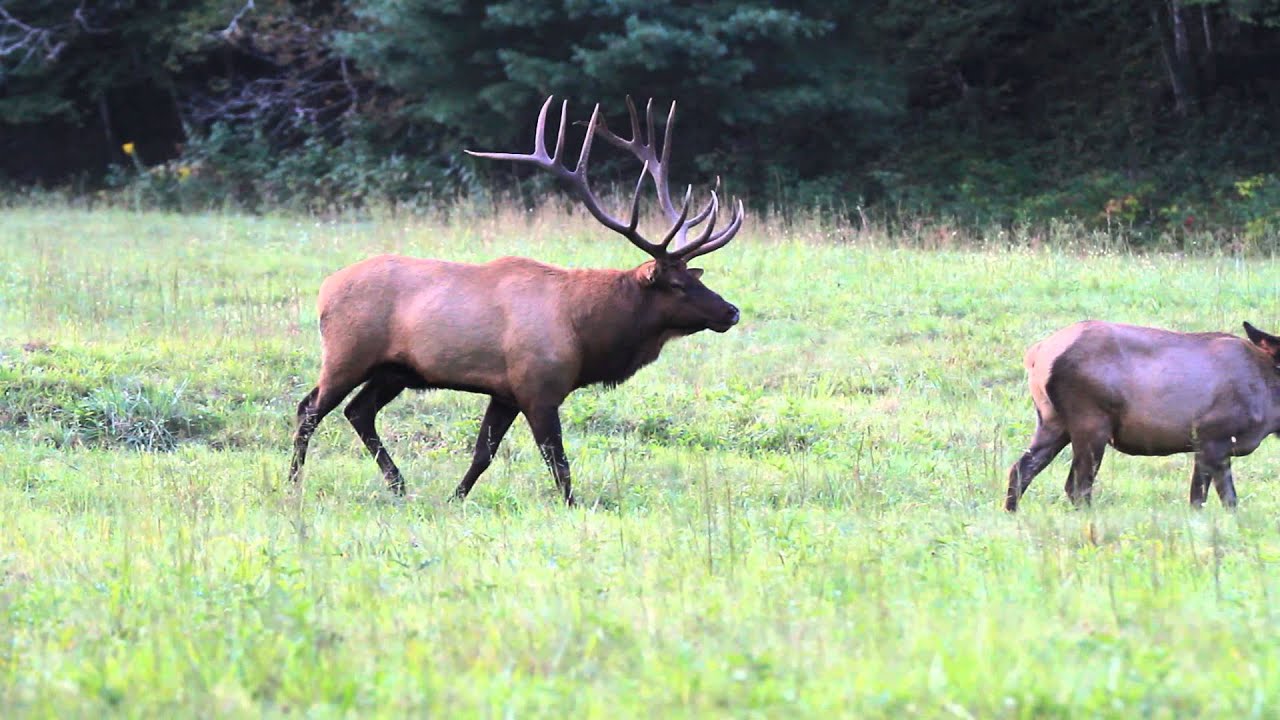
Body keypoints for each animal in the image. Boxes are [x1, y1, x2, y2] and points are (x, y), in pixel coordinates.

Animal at [287, 95, 744, 506]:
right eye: (677, 285)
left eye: (694, 276)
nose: (731, 311)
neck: (585, 334)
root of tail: (325, 289)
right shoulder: (538, 387)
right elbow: (557, 462)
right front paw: (572, 507)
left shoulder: (505, 392)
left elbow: (482, 454)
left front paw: (454, 499)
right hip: (348, 354)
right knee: (309, 409)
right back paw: (293, 484)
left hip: (394, 370)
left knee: (358, 412)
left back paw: (398, 485)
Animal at [1005, 320, 1280, 512]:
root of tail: (1037, 354)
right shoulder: (1212, 437)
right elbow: (1213, 499)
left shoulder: (1209, 445)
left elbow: (1210, 499)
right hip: (1091, 421)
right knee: (1077, 485)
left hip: (1052, 420)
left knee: (1022, 467)